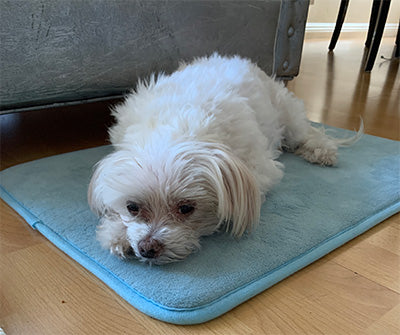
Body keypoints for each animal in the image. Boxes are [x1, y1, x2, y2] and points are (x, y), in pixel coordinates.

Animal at [88, 54, 362, 266]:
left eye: (186, 208)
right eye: (132, 207)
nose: (147, 248)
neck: (174, 128)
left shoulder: (259, 168)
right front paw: (116, 233)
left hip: (288, 115)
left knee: (306, 132)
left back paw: (321, 150)